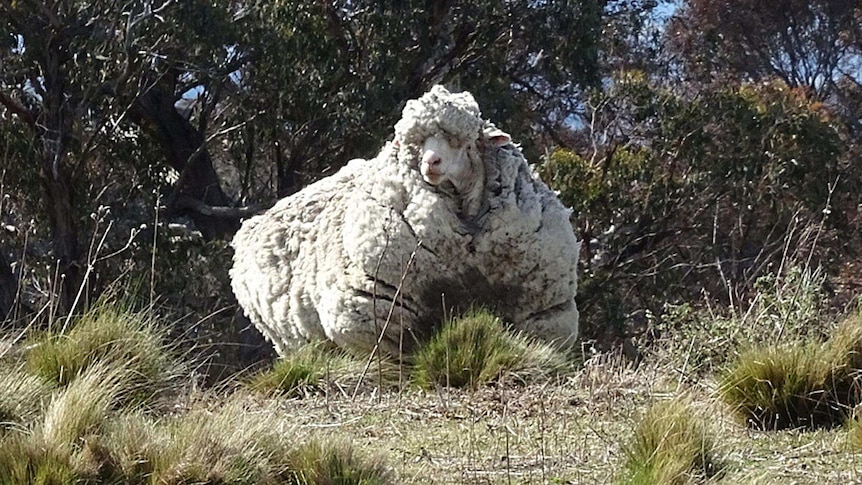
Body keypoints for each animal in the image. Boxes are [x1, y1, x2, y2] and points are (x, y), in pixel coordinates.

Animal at [230, 84, 584, 356]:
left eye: (462, 140)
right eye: (416, 144)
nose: (431, 162)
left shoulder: (542, 311)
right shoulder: (377, 312)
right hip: (292, 340)